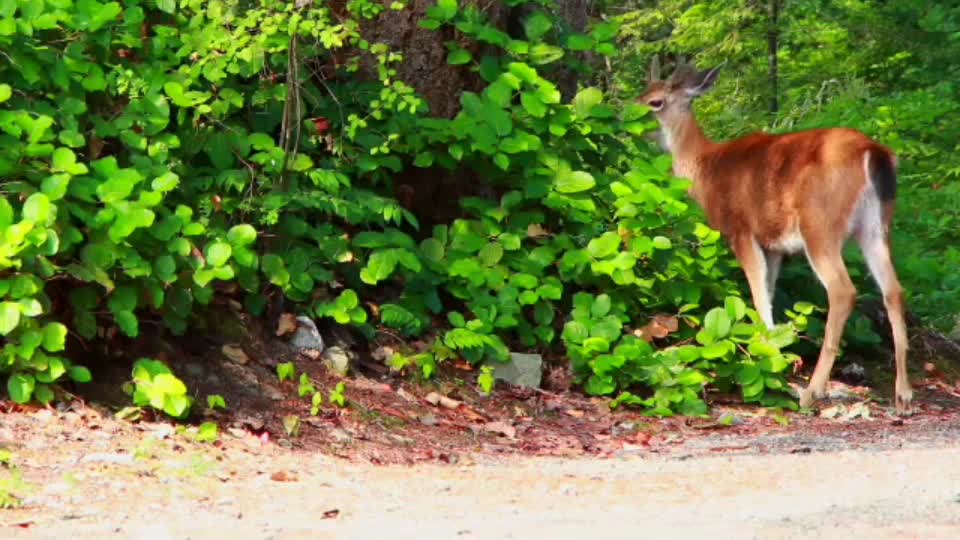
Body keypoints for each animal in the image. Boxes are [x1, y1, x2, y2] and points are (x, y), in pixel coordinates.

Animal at [640, 58, 912, 414]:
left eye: (655, 102)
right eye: (641, 91)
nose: (626, 120)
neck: (705, 167)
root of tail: (873, 152)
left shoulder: (741, 230)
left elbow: (758, 295)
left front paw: (765, 358)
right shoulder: (773, 246)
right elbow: (767, 294)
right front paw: (770, 353)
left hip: (820, 226)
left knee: (843, 291)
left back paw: (811, 393)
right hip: (876, 226)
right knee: (894, 289)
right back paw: (904, 395)